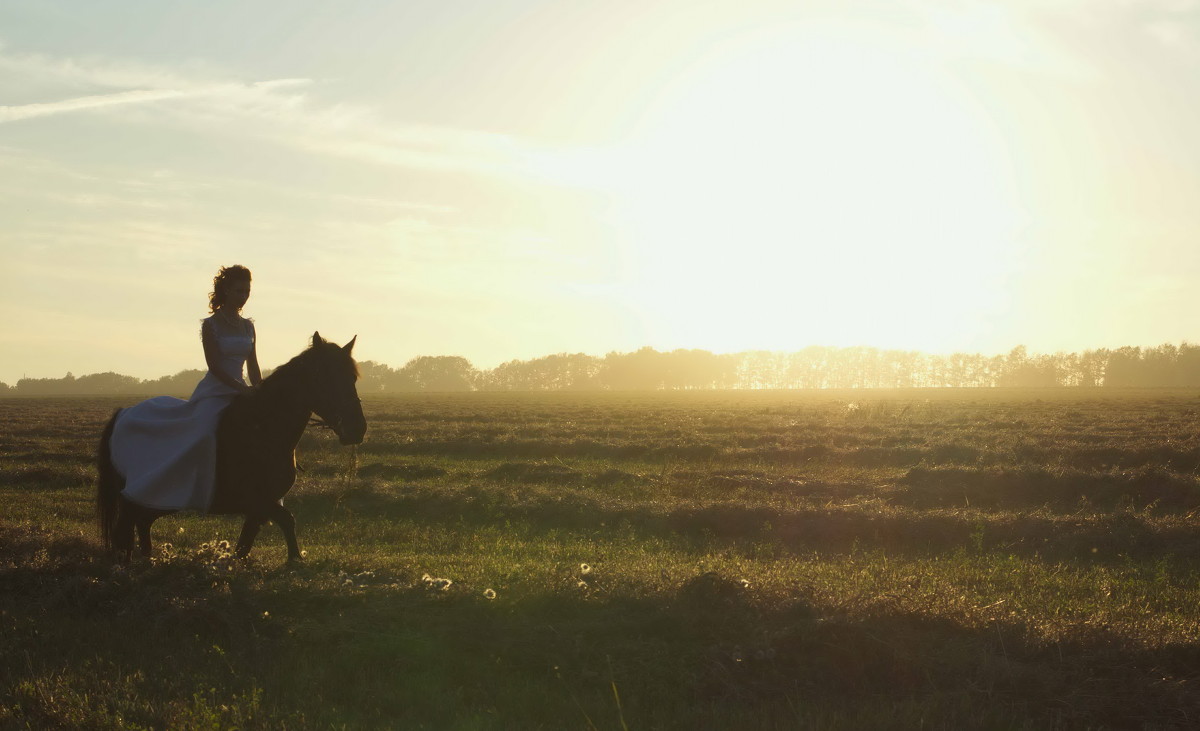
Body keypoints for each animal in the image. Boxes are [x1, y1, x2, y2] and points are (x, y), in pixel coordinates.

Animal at [97, 333, 364, 561]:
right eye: (323, 377)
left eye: (353, 378)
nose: (357, 429)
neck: (261, 429)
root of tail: (124, 413)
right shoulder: (256, 500)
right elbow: (286, 520)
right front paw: (294, 560)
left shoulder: (260, 506)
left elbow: (246, 543)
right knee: (126, 526)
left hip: (158, 497)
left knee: (142, 521)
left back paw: (147, 558)